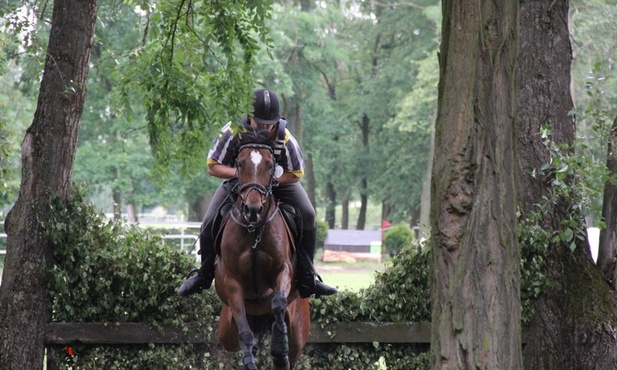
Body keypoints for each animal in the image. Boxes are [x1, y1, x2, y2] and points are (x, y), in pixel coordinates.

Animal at [213, 129, 310, 370]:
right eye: (239, 163)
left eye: (269, 165)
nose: (253, 210)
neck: (254, 231)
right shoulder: (232, 282)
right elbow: (245, 333)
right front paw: (250, 359)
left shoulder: (283, 269)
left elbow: (278, 301)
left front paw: (279, 347)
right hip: (226, 332)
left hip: (299, 333)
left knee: (290, 347)